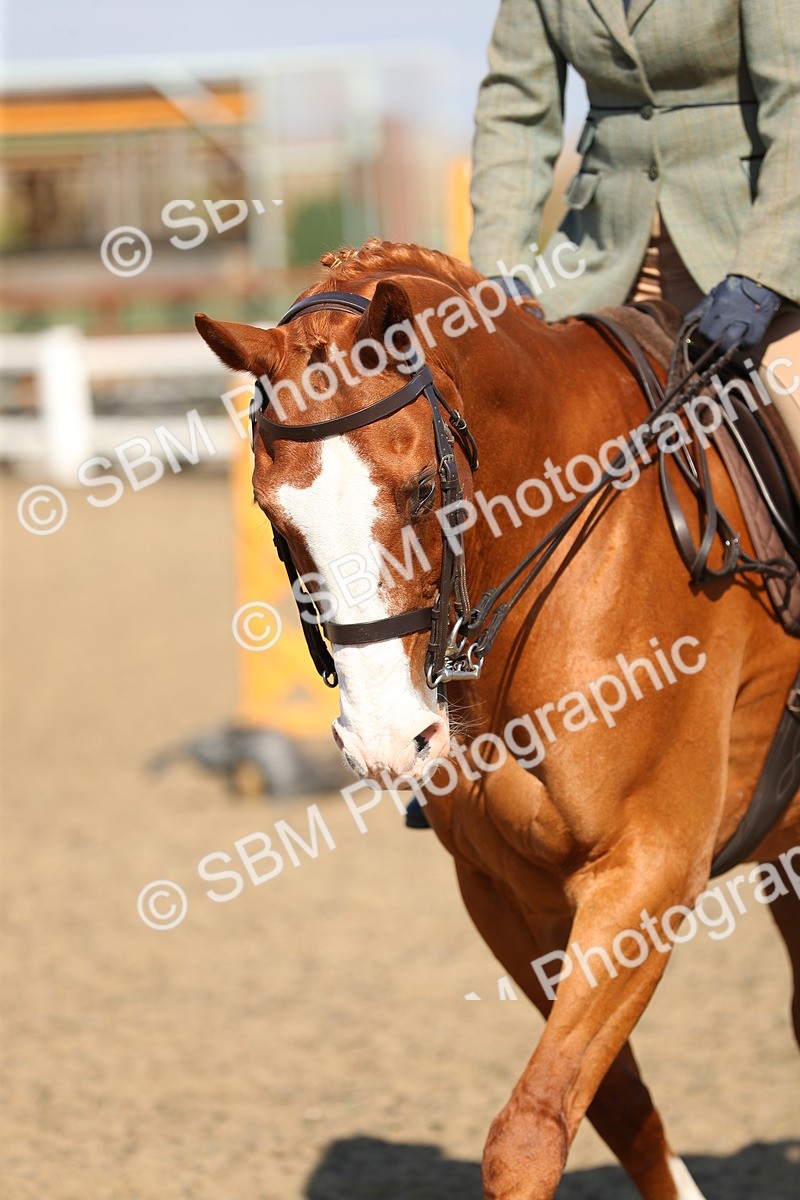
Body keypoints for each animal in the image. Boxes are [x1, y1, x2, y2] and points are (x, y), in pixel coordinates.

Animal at [196, 239, 800, 1200]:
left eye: (421, 491)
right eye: (273, 514)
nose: (385, 742)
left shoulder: (650, 869)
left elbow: (529, 1132)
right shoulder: (504, 895)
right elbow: (612, 1107)